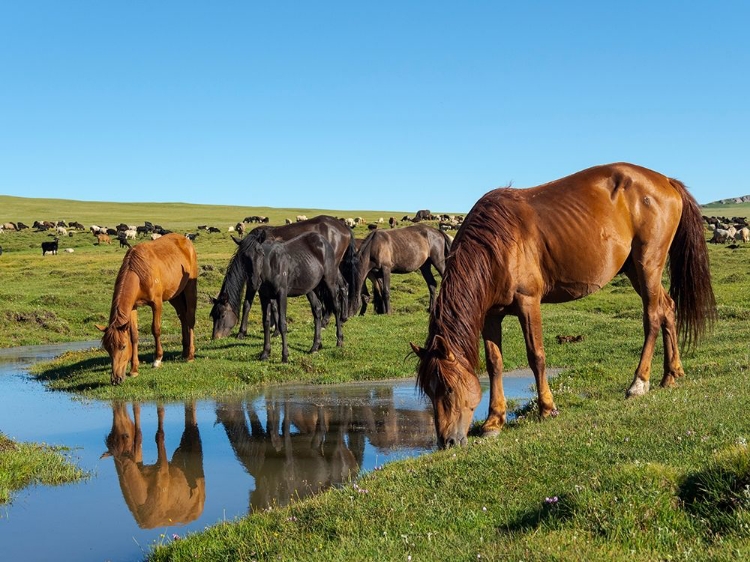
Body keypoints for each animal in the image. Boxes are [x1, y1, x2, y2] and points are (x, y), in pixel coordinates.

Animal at [95, 233, 198, 384]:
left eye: (123, 346)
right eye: (108, 348)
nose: (116, 379)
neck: (139, 274)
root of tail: (186, 240)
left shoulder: (157, 304)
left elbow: (156, 329)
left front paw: (157, 360)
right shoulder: (133, 307)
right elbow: (134, 335)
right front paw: (134, 370)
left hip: (190, 288)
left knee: (190, 318)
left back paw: (190, 355)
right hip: (175, 296)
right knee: (183, 317)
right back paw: (184, 352)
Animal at [210, 214, 360, 336]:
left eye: (222, 315)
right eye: (212, 315)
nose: (216, 337)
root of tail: (344, 226)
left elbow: (270, 305)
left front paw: (272, 329)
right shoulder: (253, 280)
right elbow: (248, 303)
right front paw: (246, 331)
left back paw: (326, 321)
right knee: (344, 286)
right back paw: (342, 318)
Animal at [414, 162, 720, 446]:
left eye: (448, 389)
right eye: (429, 391)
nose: (447, 442)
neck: (496, 245)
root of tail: (666, 181)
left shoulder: (528, 303)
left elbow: (536, 356)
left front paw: (547, 408)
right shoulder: (490, 315)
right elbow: (494, 364)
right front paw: (493, 421)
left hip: (648, 265)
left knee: (653, 316)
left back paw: (638, 383)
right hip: (635, 269)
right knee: (667, 308)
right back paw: (671, 374)